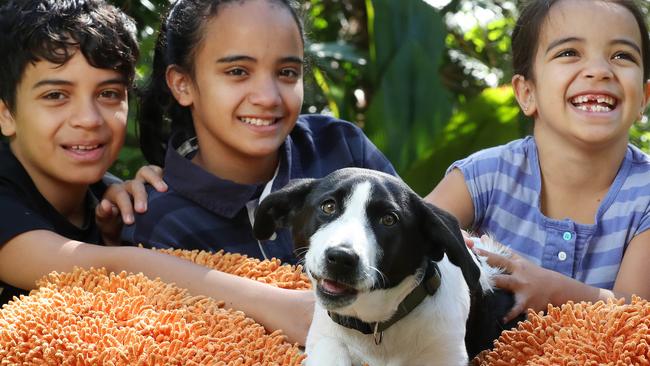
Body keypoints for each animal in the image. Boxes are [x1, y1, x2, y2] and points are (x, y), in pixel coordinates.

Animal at [252, 167, 516, 364]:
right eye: (328, 206)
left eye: (389, 220)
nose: (341, 258)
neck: (375, 326)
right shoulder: (324, 337)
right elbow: (330, 350)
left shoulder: (445, 353)